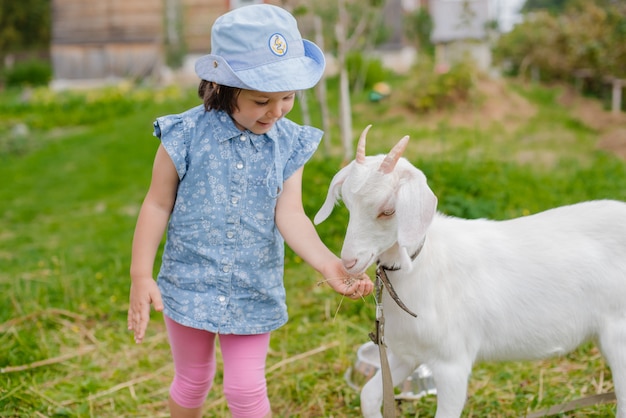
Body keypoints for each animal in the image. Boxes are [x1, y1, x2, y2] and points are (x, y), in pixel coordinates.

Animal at [314, 126, 624, 418]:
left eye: (389, 210)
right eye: (348, 205)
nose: (348, 262)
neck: (422, 266)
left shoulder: (452, 363)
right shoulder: (406, 353)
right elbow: (368, 395)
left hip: (618, 332)